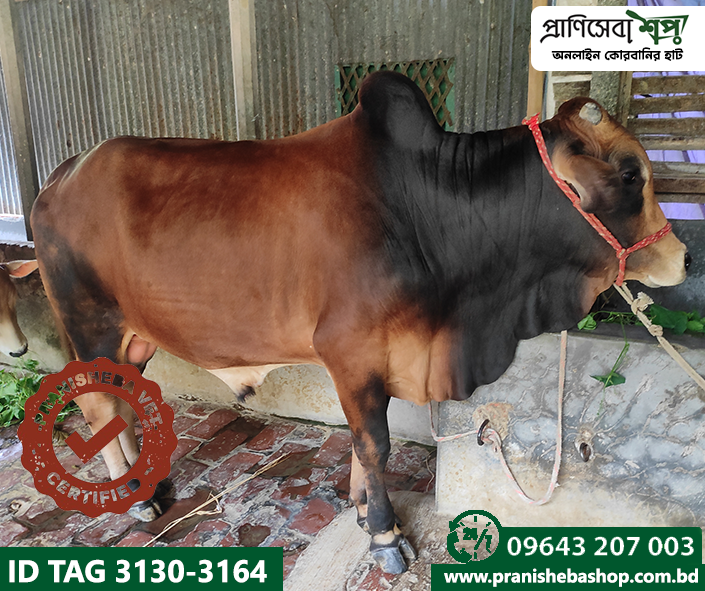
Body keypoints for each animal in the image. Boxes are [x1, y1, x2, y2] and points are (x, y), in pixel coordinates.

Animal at [30, 71, 688, 573]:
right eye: (630, 173)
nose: (683, 256)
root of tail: (64, 172)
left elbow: (360, 442)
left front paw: (359, 507)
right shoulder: (351, 352)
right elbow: (375, 443)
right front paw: (385, 534)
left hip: (134, 336)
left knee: (122, 399)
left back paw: (150, 485)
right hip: (89, 323)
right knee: (99, 405)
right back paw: (132, 500)